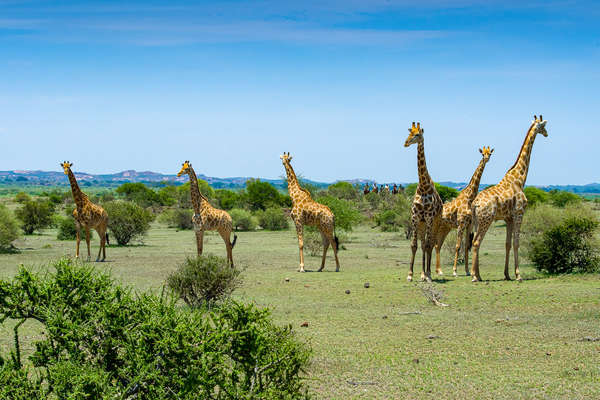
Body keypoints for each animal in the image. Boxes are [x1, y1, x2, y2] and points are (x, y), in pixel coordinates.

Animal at [434, 145, 494, 276]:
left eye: (490, 153)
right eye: (482, 154)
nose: (487, 159)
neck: (469, 197)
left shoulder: (469, 225)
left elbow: (466, 246)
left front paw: (467, 271)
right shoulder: (461, 223)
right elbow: (457, 246)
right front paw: (455, 271)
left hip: (445, 228)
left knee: (438, 245)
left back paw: (439, 270)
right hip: (438, 227)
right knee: (435, 244)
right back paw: (438, 271)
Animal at [472, 115, 552, 282]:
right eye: (543, 126)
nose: (547, 134)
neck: (520, 178)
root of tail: (475, 203)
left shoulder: (508, 218)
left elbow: (507, 244)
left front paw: (507, 274)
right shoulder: (519, 213)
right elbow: (516, 243)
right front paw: (518, 275)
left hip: (476, 220)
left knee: (475, 242)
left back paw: (478, 275)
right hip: (487, 219)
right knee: (476, 242)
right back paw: (474, 277)